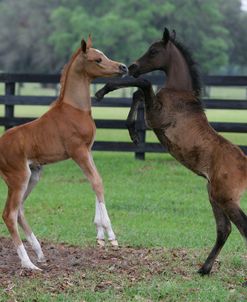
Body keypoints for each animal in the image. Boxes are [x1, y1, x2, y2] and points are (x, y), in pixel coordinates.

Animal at [0, 36, 127, 270]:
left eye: (104, 55)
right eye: (97, 59)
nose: (122, 67)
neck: (74, 109)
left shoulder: (88, 150)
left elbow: (96, 181)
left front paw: (100, 236)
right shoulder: (78, 152)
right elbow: (96, 182)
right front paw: (110, 236)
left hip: (33, 175)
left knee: (19, 210)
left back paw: (39, 253)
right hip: (18, 177)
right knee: (9, 214)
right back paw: (28, 264)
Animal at [95, 28, 247, 276]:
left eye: (153, 51)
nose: (133, 66)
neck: (180, 93)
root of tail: (245, 163)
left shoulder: (156, 116)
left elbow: (144, 83)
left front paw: (102, 91)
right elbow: (138, 92)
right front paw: (132, 133)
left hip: (226, 198)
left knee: (242, 228)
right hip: (214, 195)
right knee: (224, 230)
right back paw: (204, 269)